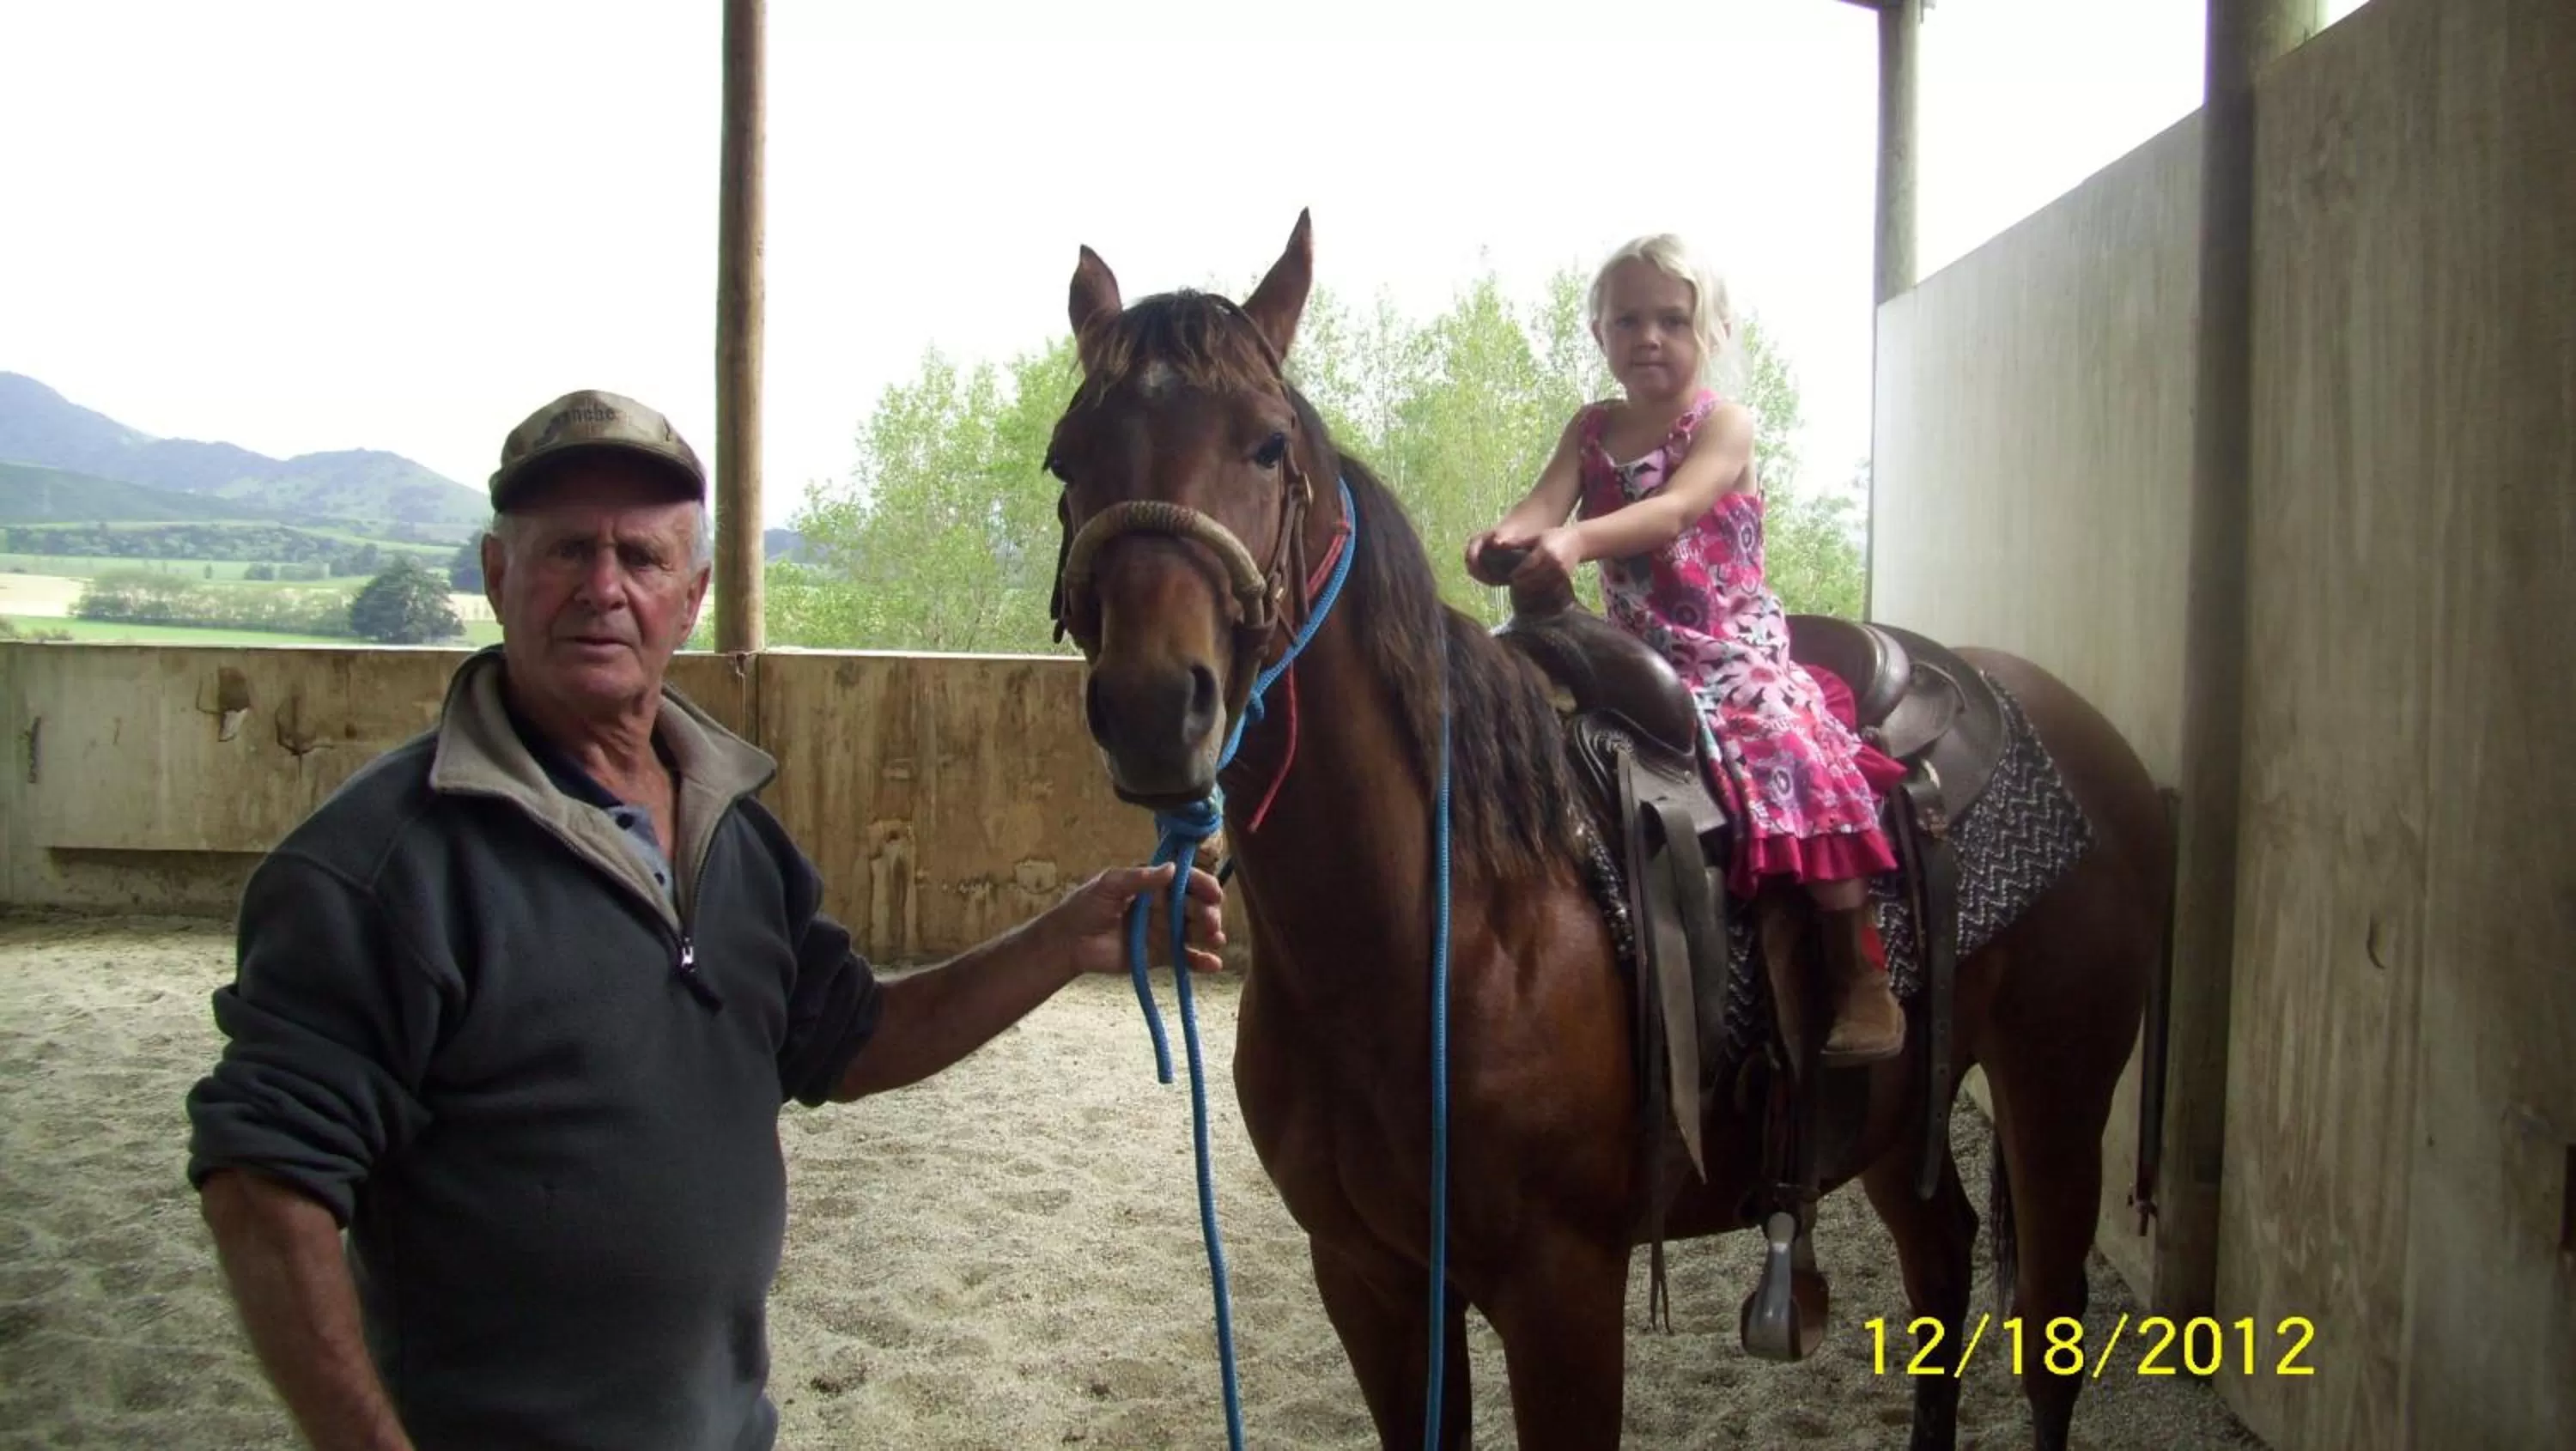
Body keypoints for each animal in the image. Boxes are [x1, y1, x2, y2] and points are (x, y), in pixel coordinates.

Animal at [1039, 210, 2166, 1451]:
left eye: (1267, 445)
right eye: (1066, 457)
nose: (1156, 705)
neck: (1439, 925)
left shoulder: (1561, 1288)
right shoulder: (1371, 1279)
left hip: (2057, 1083)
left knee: (2049, 1327)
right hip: (1896, 1118)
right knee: (1941, 1262)